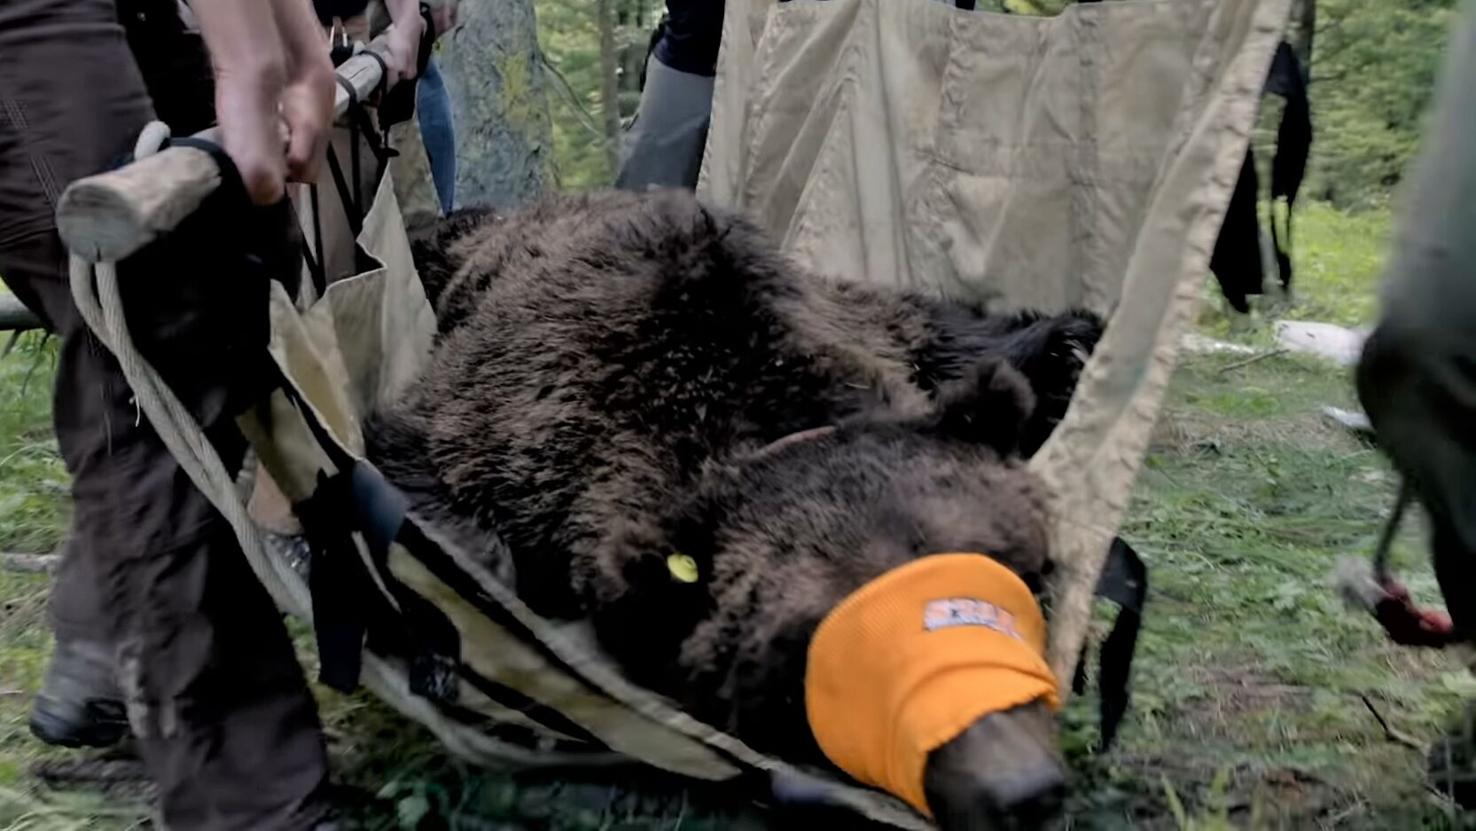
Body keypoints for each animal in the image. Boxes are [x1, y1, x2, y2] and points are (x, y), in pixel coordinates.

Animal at [371, 189, 1104, 828]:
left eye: (1010, 575)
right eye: (832, 661)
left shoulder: (869, 325)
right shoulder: (502, 431)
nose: (1019, 791)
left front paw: (1069, 341)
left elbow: (971, 337)